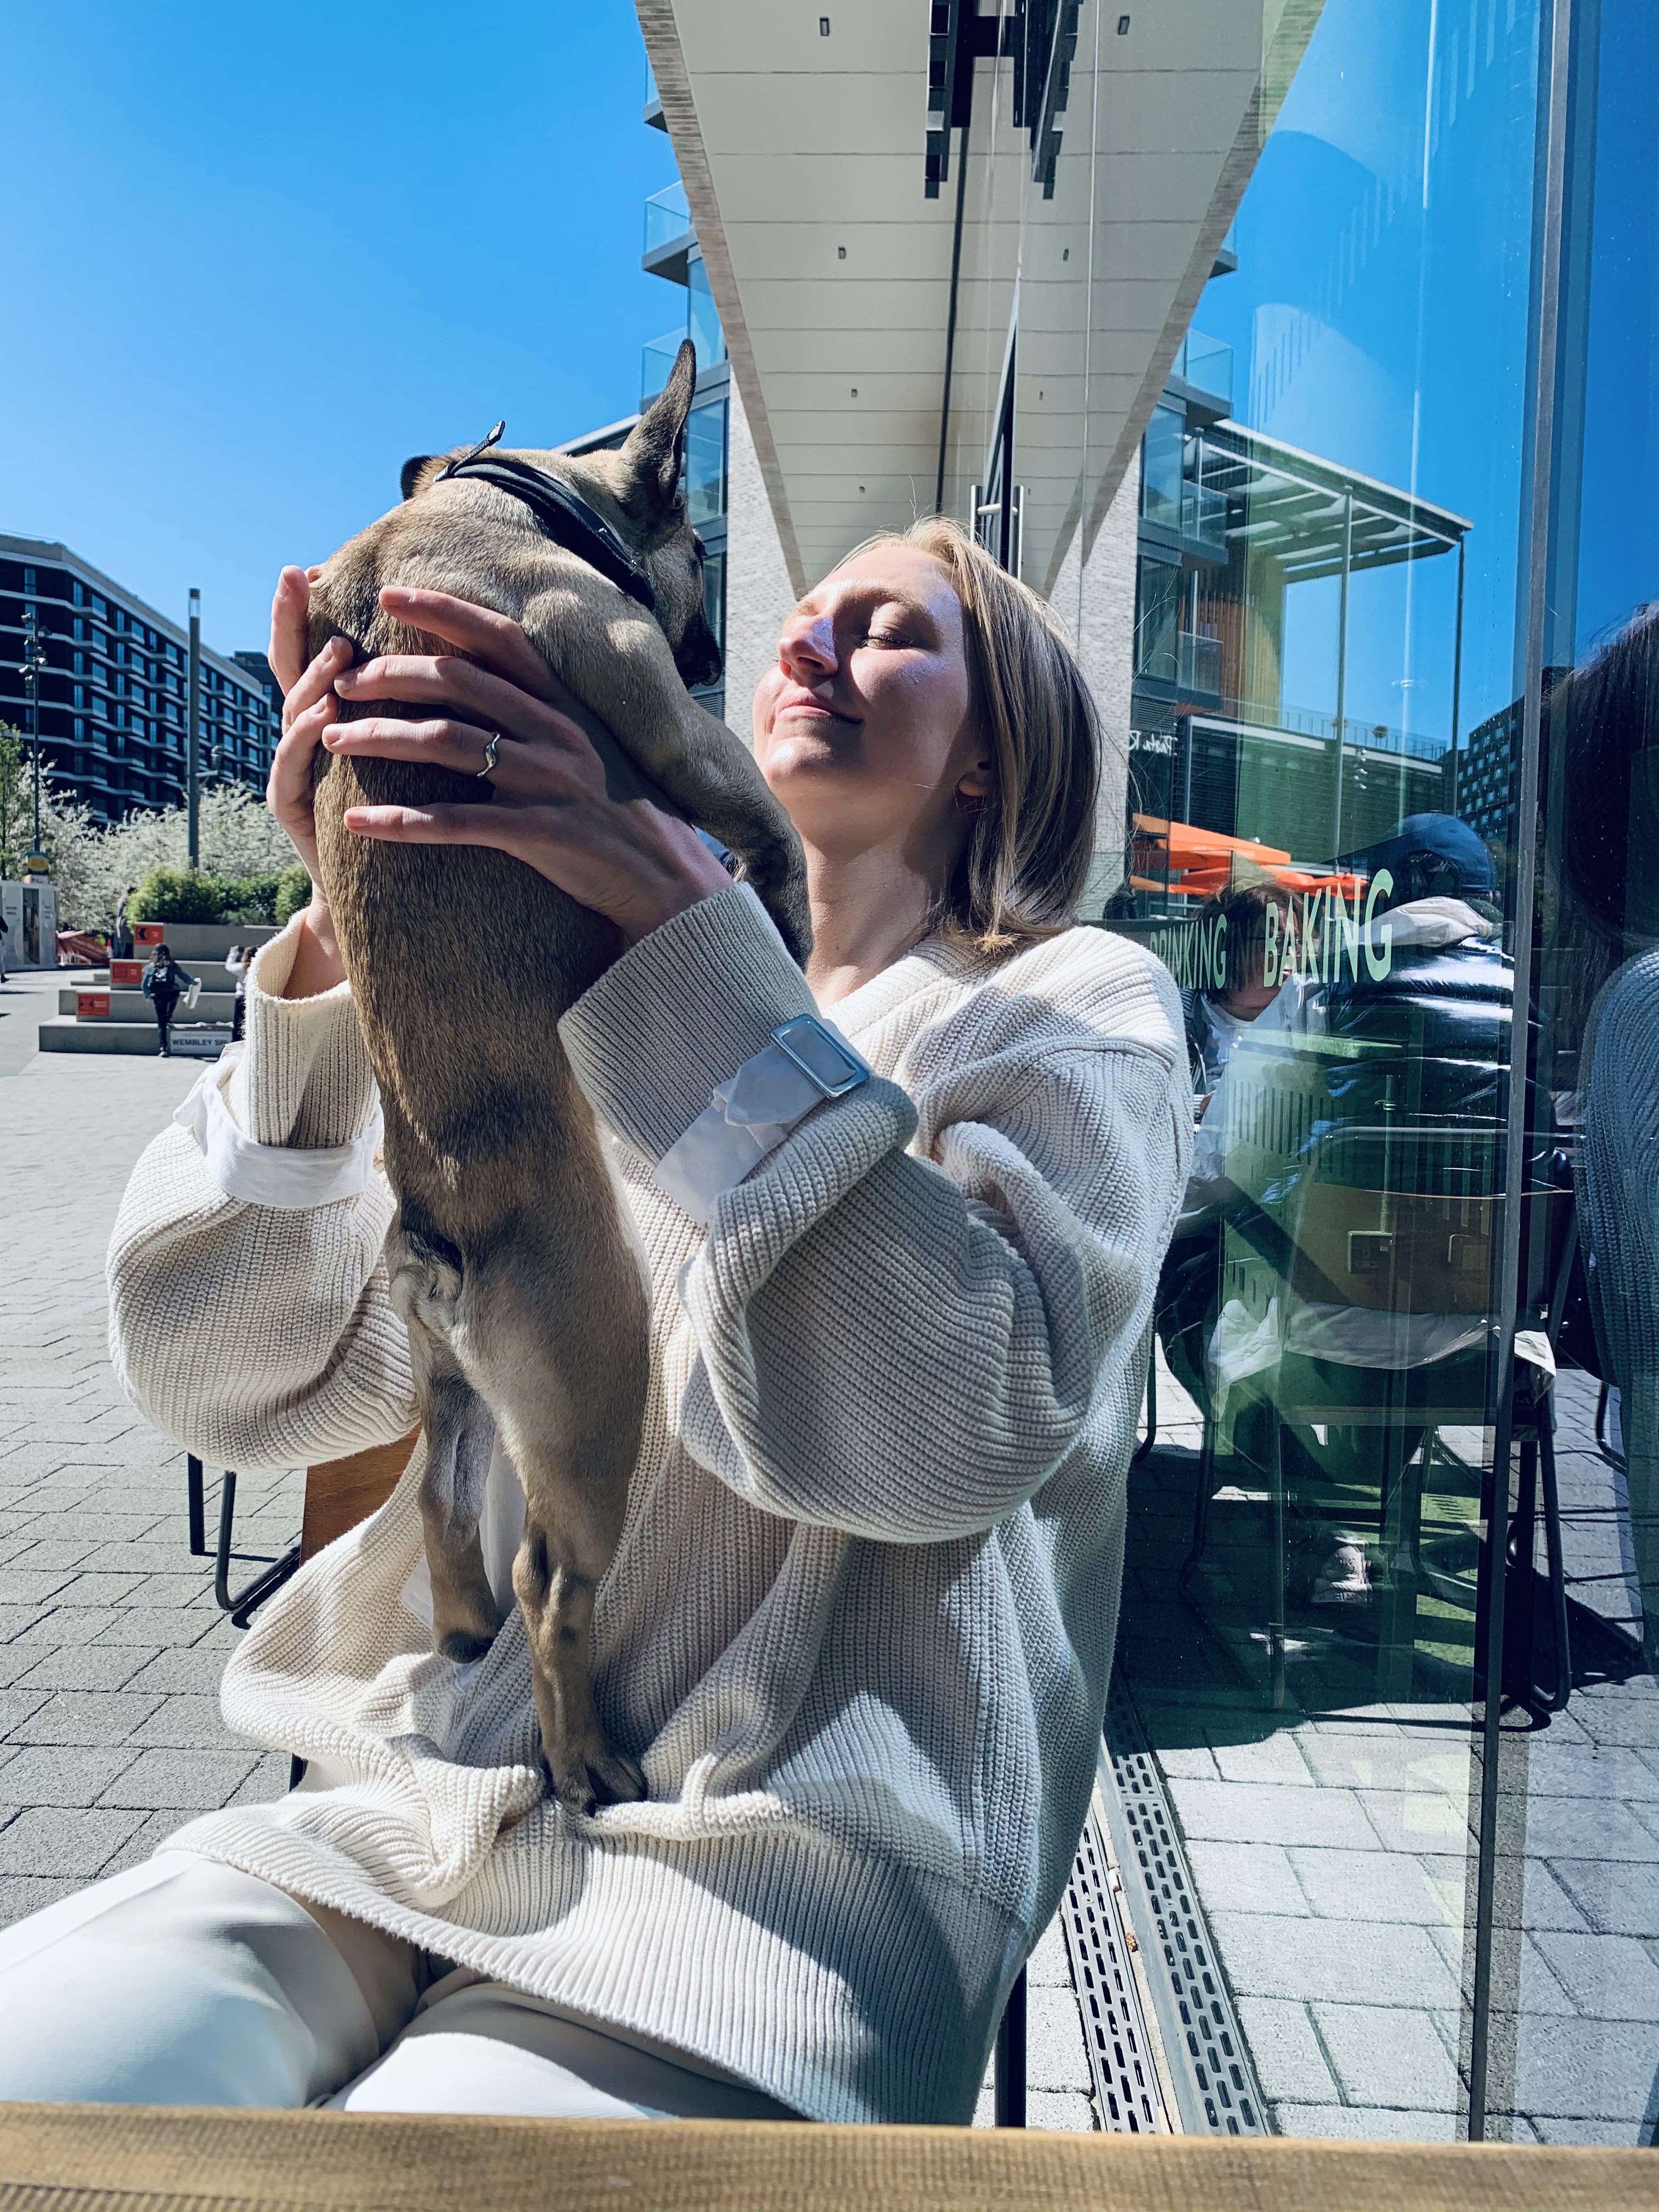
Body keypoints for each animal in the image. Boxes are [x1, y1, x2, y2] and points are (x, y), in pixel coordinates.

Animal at [309, 336, 814, 1805]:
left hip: (465, 1395)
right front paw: (790, 919)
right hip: (596, 1393)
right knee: (554, 1581)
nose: (720, 645)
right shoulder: (681, 741)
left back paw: (471, 1636)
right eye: (701, 543)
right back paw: (587, 1760)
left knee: (443, 1508)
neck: (497, 498)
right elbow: (770, 826)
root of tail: (436, 1235)